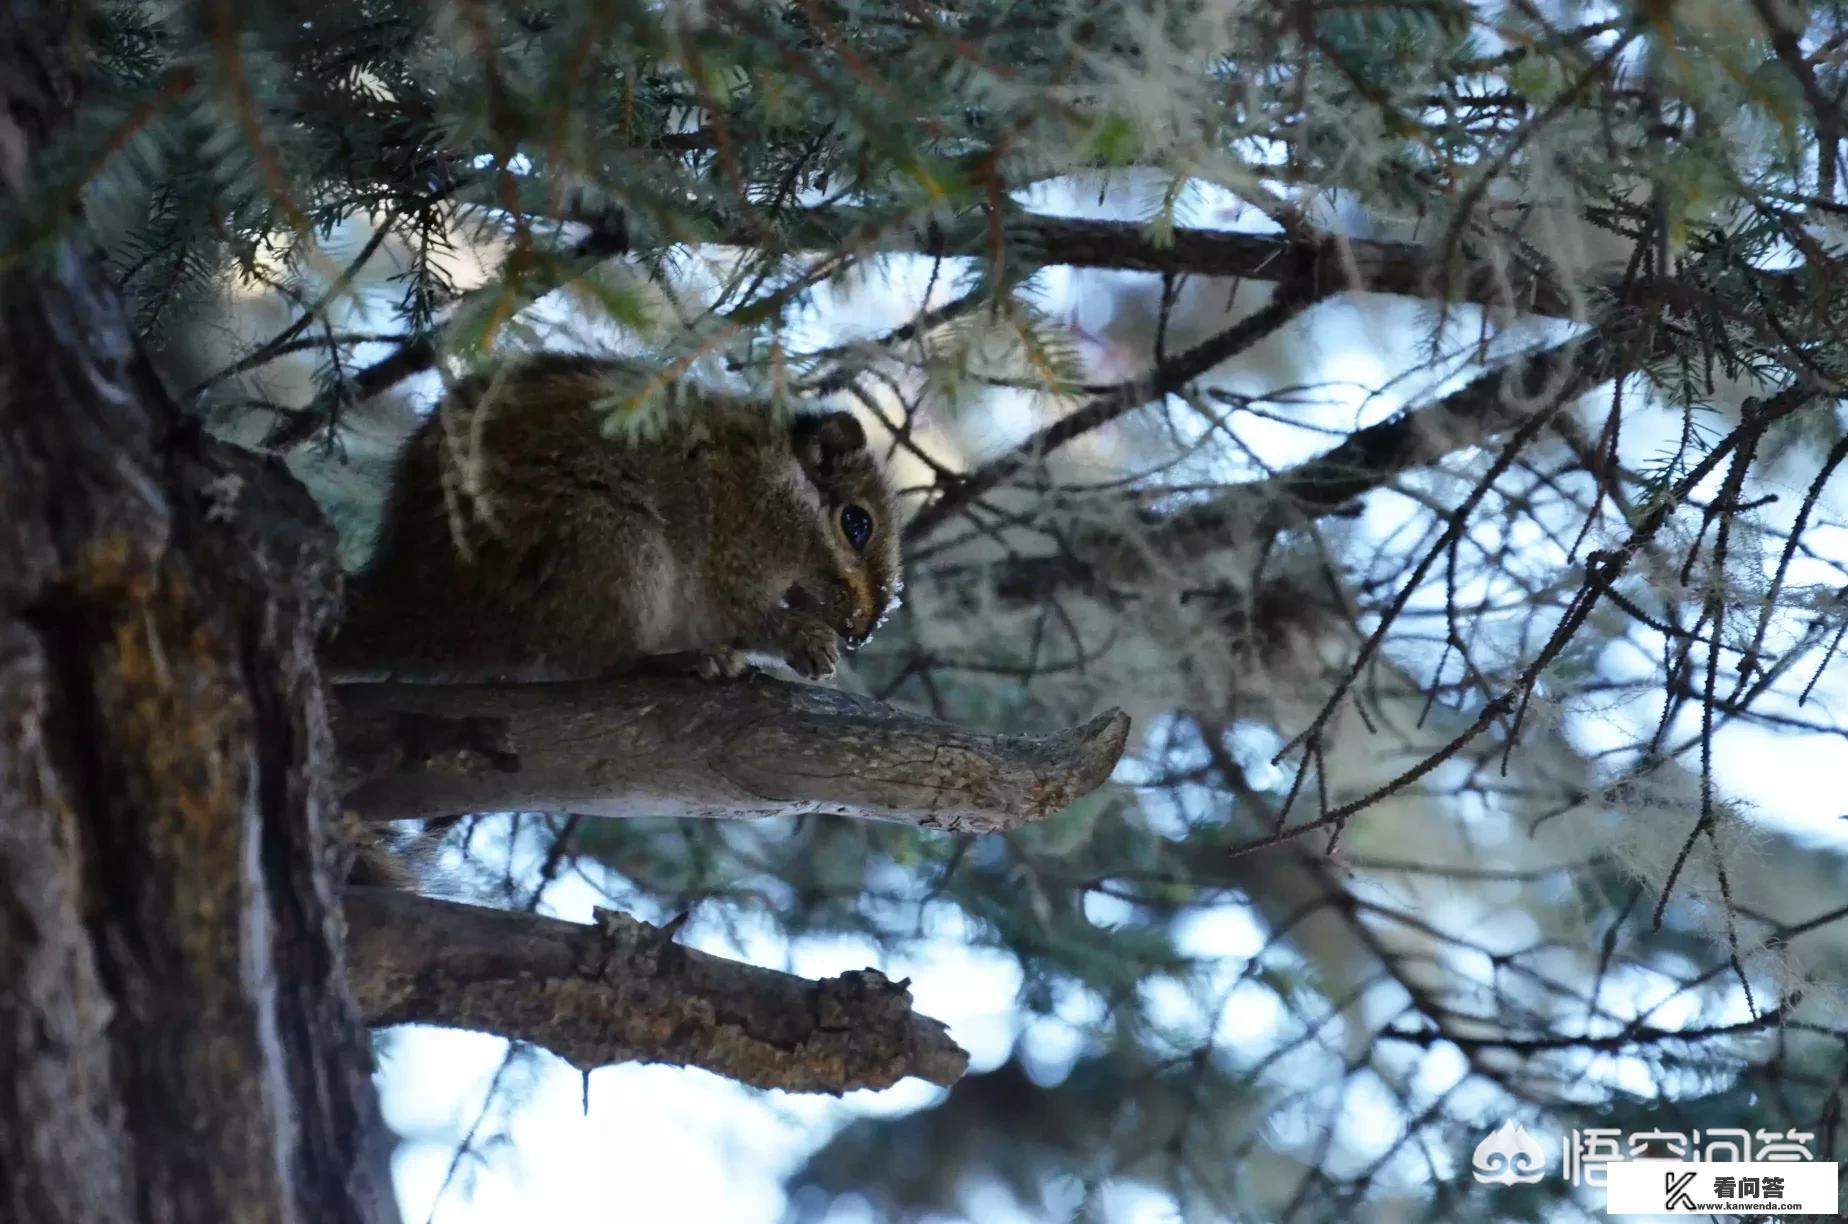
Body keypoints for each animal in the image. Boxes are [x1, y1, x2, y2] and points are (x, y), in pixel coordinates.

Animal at [334, 356, 909, 691]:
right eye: (857, 525)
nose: (863, 631)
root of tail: (421, 608)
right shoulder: (735, 537)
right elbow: (743, 611)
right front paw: (804, 639)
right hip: (609, 548)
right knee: (598, 660)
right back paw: (677, 660)